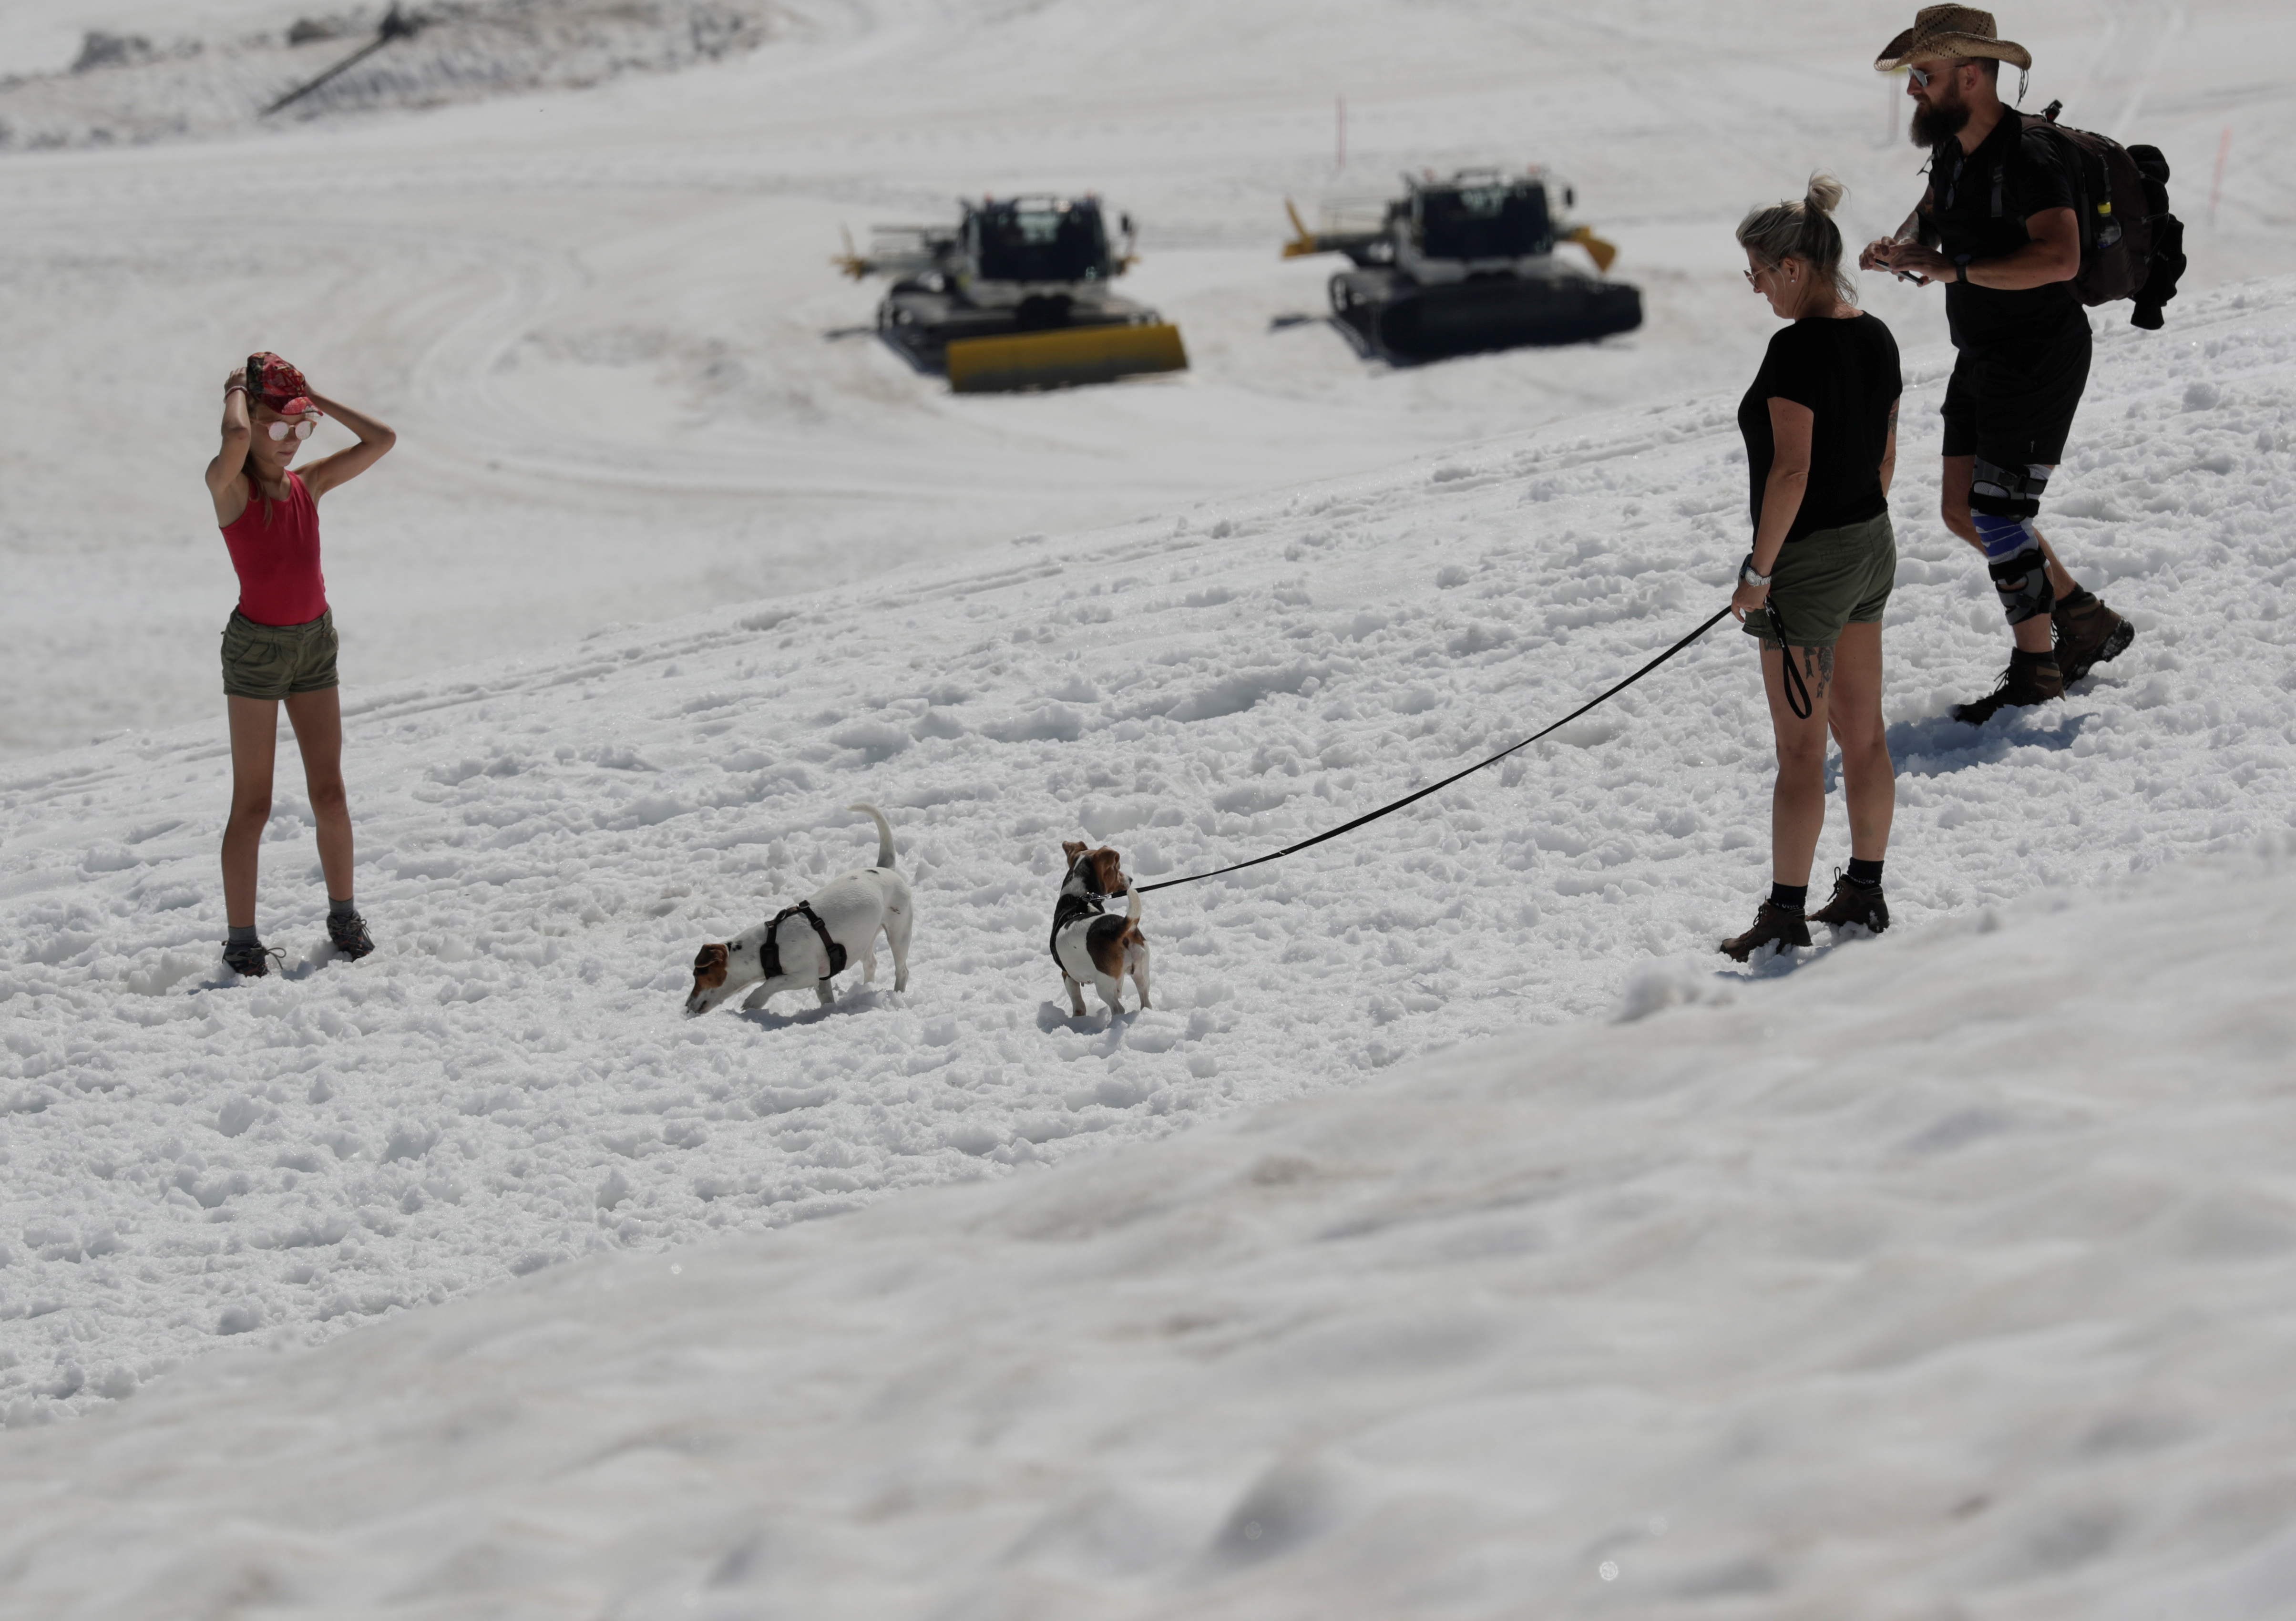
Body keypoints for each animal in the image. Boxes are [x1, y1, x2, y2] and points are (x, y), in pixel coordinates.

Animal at [679, 803, 913, 1015]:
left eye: (698, 976)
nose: (687, 1006)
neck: (768, 947)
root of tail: (884, 869)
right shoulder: (824, 975)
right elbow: (826, 997)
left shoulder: (805, 975)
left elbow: (771, 984)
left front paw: (754, 1001)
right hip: (863, 939)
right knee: (871, 964)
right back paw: (866, 989)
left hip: (899, 934)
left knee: (902, 970)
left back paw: (898, 995)